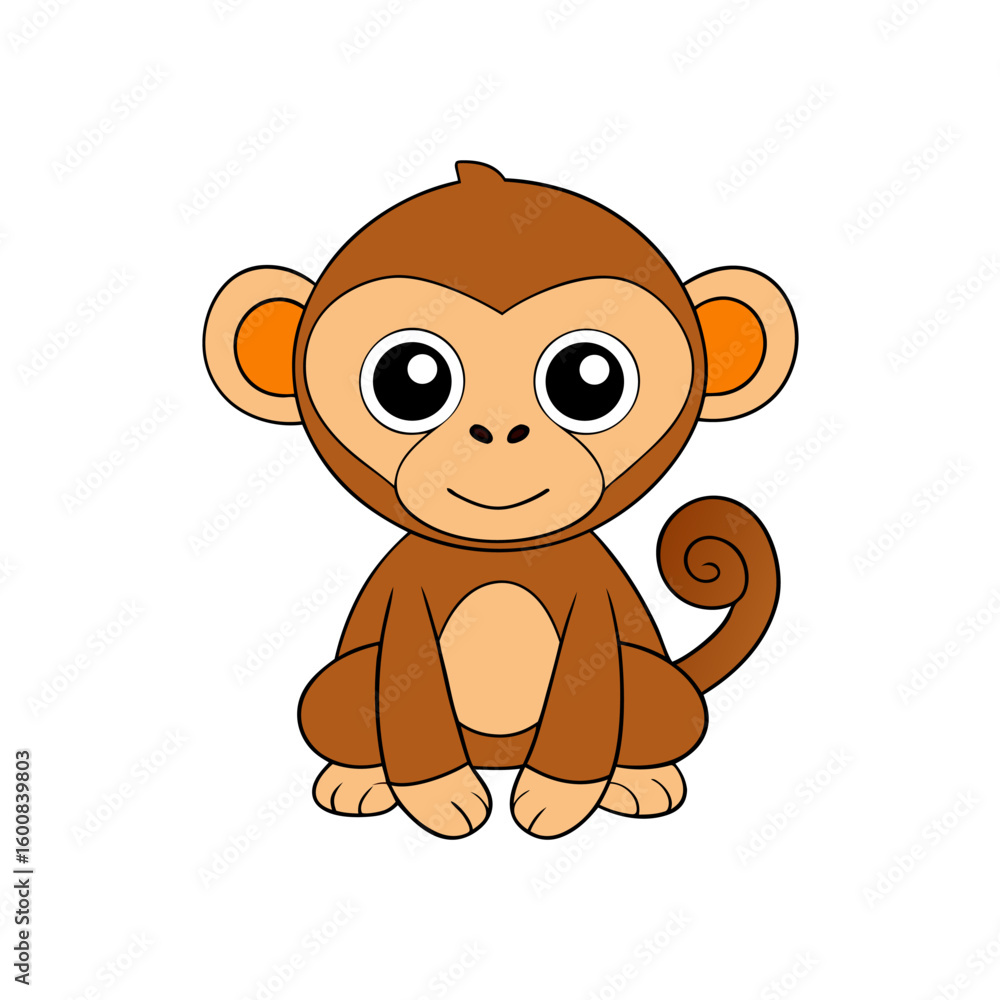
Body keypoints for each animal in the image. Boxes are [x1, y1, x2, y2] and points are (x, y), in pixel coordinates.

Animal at [203, 161, 797, 840]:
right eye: (409, 378)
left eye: (590, 376)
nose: (498, 429)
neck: (500, 557)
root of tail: (498, 754)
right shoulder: (407, 597)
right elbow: (409, 689)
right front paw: (439, 798)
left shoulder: (591, 599)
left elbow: (587, 690)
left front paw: (560, 799)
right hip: (341, 685)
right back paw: (359, 781)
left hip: (653, 680)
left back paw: (638, 781)